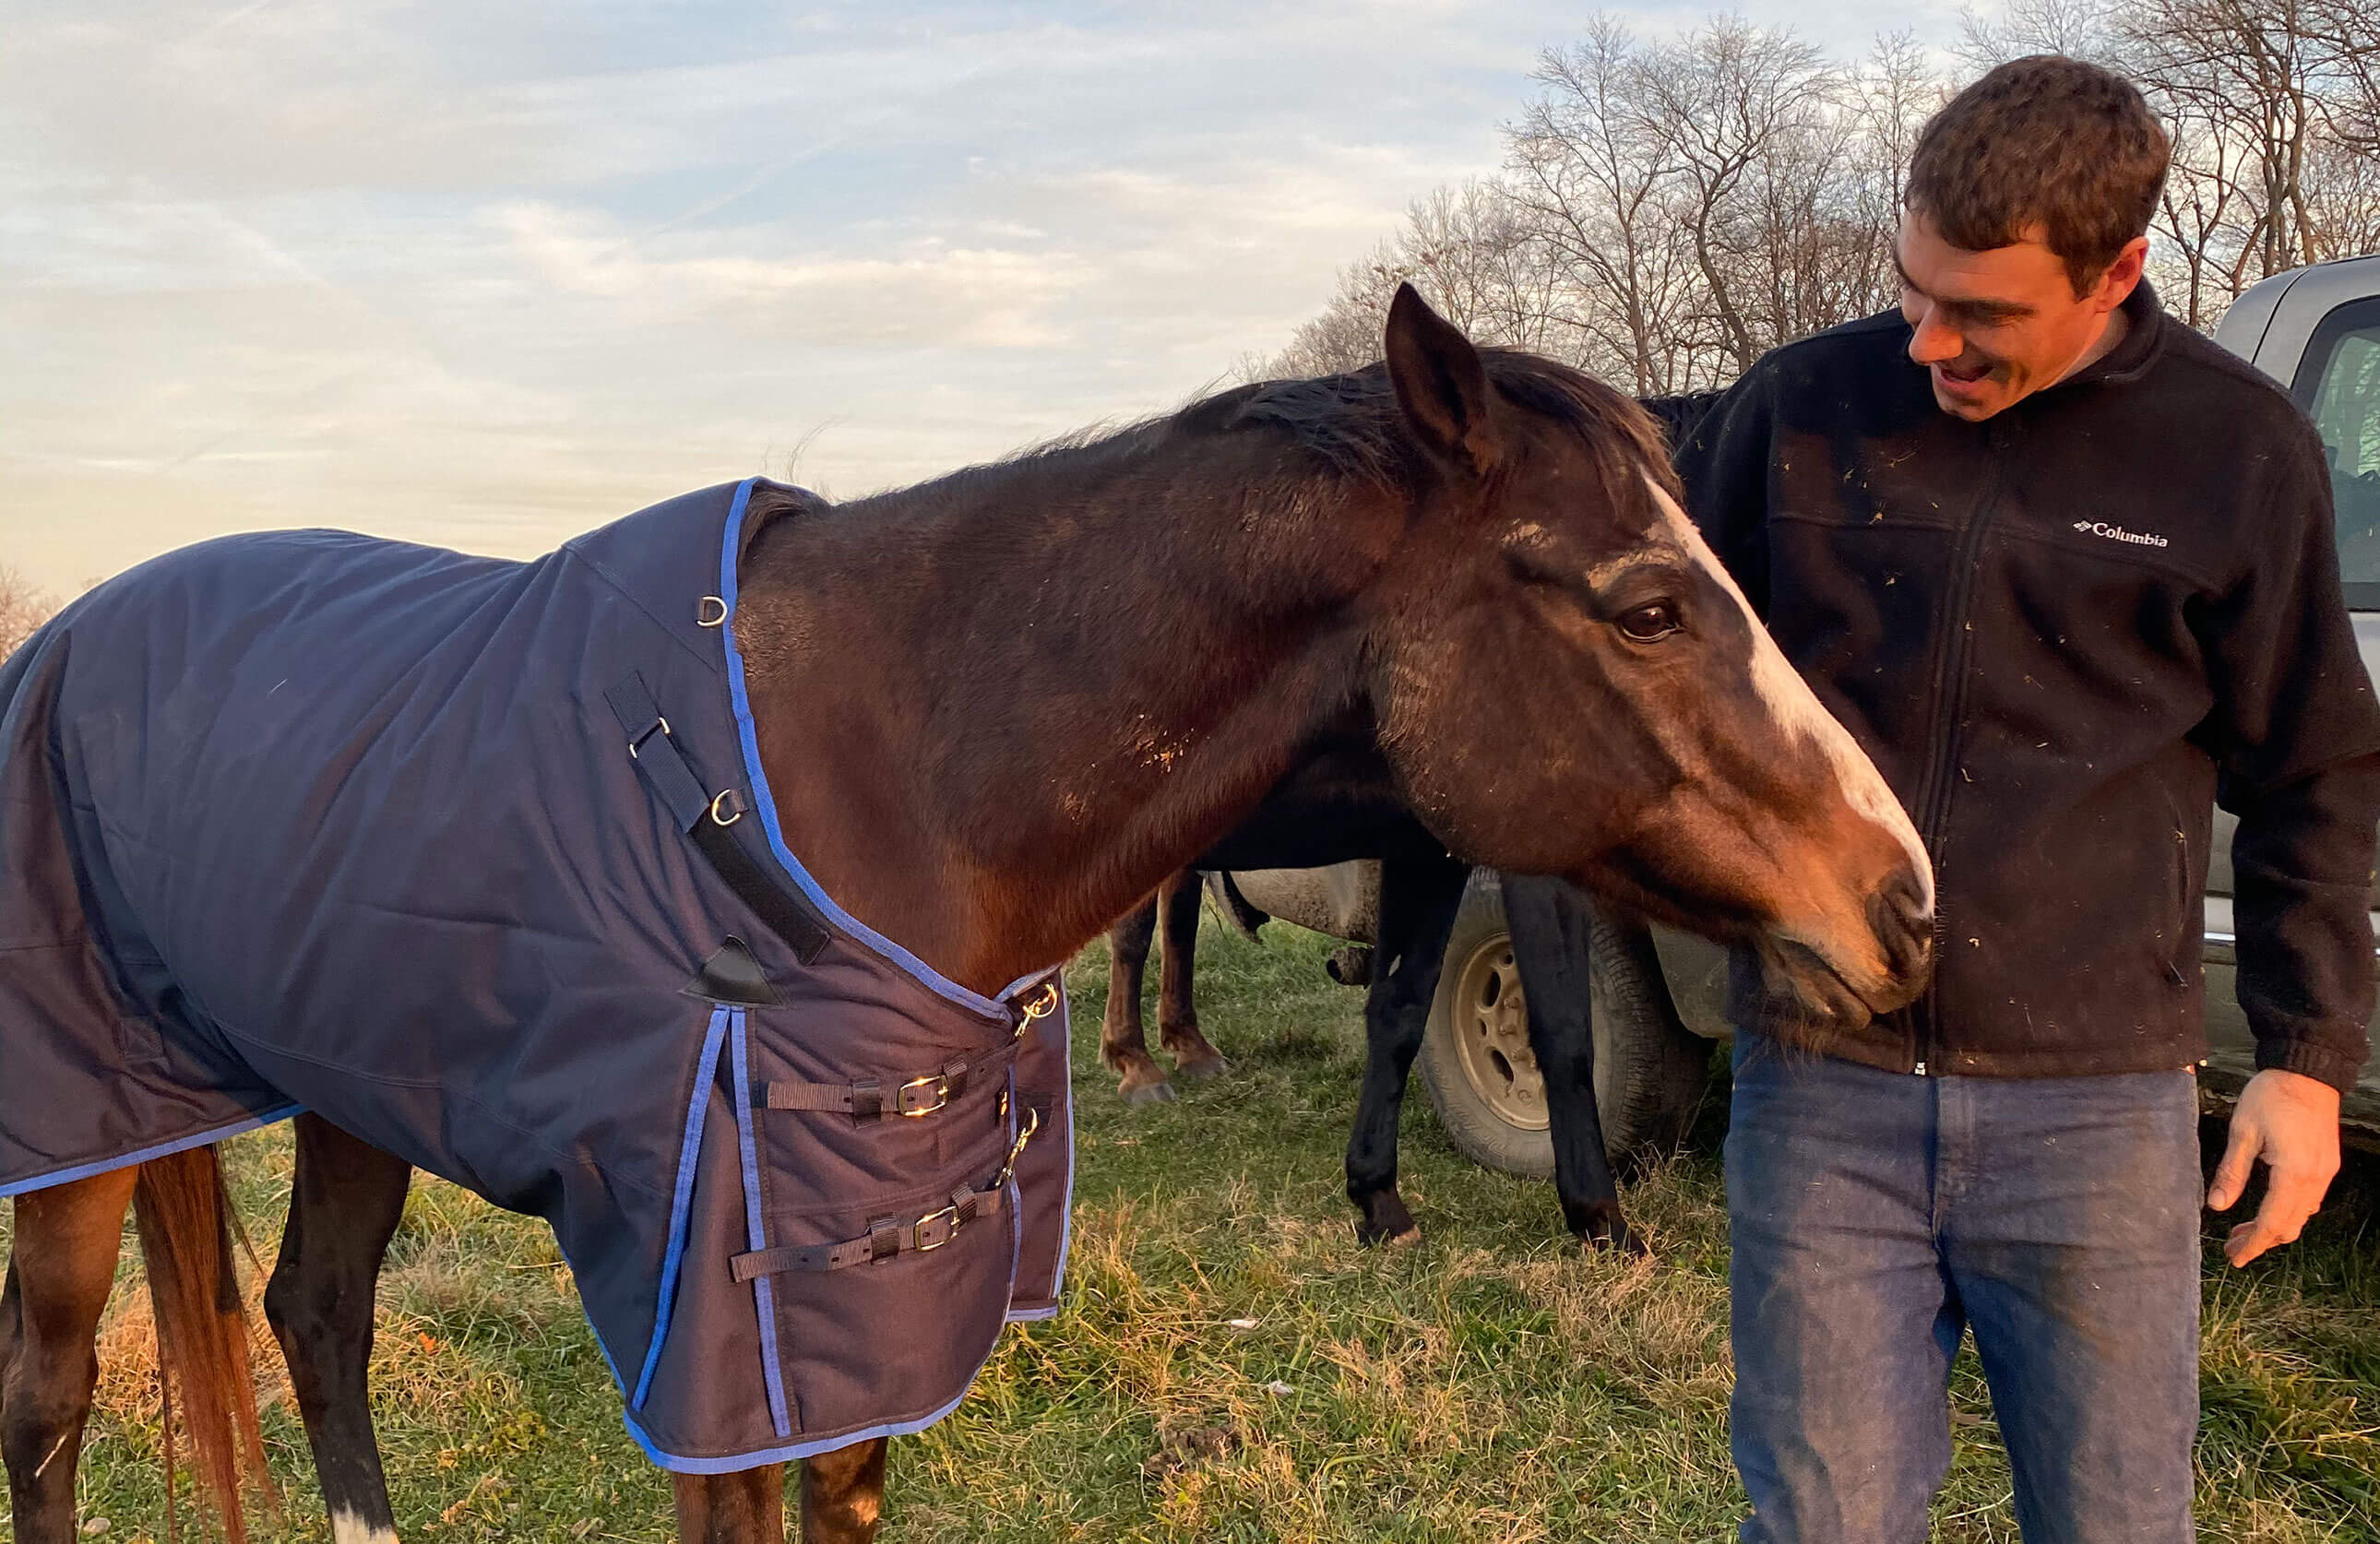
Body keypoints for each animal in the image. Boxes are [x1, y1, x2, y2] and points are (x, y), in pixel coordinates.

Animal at [1, 285, 1933, 1543]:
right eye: (1651, 602)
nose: (1905, 899)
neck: (866, 781)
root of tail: (66, 634)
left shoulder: (872, 1297)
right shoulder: (715, 1316)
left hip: (354, 1083)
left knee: (316, 1315)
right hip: (76, 1137)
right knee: (52, 1393)